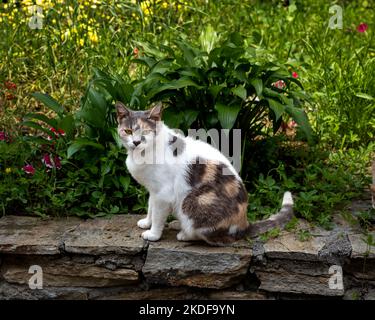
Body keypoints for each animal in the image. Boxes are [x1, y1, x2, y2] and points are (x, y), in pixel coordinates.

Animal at [115, 101, 294, 246]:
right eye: (128, 131)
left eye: (145, 132)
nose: (136, 142)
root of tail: (244, 225)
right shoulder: (154, 190)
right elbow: (150, 207)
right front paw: (147, 222)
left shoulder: (164, 193)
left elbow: (158, 216)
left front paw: (153, 234)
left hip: (191, 203)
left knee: (209, 236)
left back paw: (184, 235)